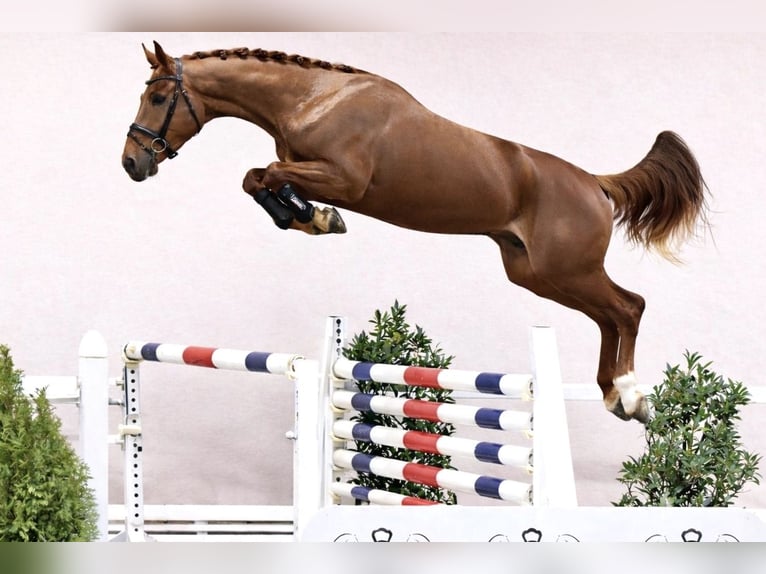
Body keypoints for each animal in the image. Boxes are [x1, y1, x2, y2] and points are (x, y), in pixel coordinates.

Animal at [122, 41, 709, 424]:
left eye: (158, 98)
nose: (132, 163)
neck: (316, 97)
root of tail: (595, 183)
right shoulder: (313, 172)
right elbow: (257, 178)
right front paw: (311, 218)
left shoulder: (346, 180)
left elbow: (266, 174)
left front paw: (316, 217)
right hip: (536, 274)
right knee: (610, 315)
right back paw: (614, 395)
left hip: (567, 269)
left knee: (628, 307)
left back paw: (629, 395)